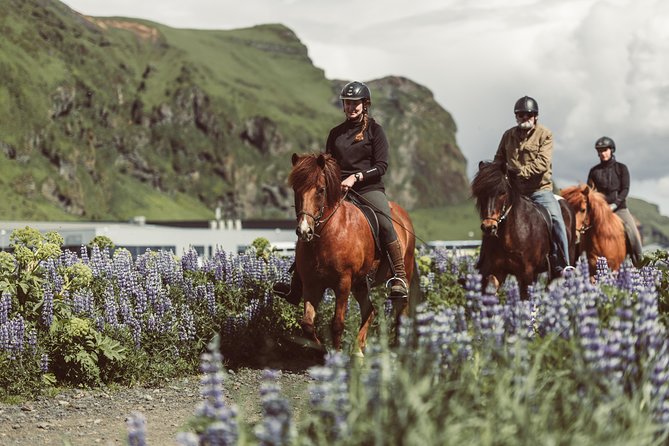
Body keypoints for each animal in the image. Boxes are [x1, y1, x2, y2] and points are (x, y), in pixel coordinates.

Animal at [288, 152, 414, 356]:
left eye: (320, 190)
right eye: (295, 189)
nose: (304, 231)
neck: (327, 234)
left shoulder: (343, 283)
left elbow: (338, 324)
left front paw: (336, 354)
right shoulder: (312, 284)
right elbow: (307, 324)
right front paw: (323, 349)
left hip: (403, 273)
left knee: (401, 311)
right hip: (362, 284)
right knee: (370, 310)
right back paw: (358, 349)